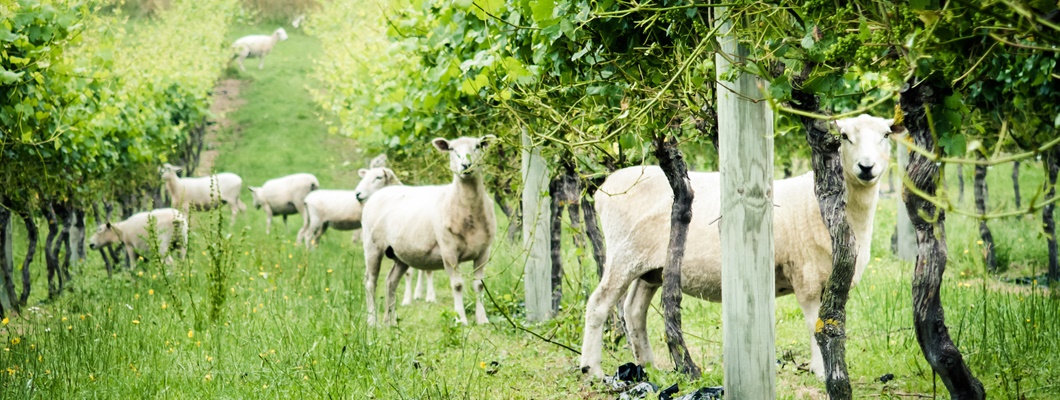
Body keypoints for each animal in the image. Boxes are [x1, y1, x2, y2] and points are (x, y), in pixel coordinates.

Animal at [360, 135, 497, 326]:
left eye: (478, 146)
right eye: (452, 149)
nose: (466, 165)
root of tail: (380, 193)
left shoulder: (484, 251)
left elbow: (479, 285)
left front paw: (482, 319)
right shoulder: (448, 251)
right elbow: (458, 285)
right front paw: (461, 319)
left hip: (400, 254)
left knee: (391, 282)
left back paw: (391, 322)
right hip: (372, 247)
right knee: (370, 283)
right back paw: (372, 321)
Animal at [578, 114, 898, 380]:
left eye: (886, 135)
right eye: (844, 136)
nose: (866, 167)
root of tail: (607, 187)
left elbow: (831, 324)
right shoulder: (804, 276)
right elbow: (814, 325)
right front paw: (821, 373)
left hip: (652, 267)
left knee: (633, 310)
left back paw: (648, 366)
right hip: (623, 254)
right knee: (599, 304)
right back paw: (591, 369)